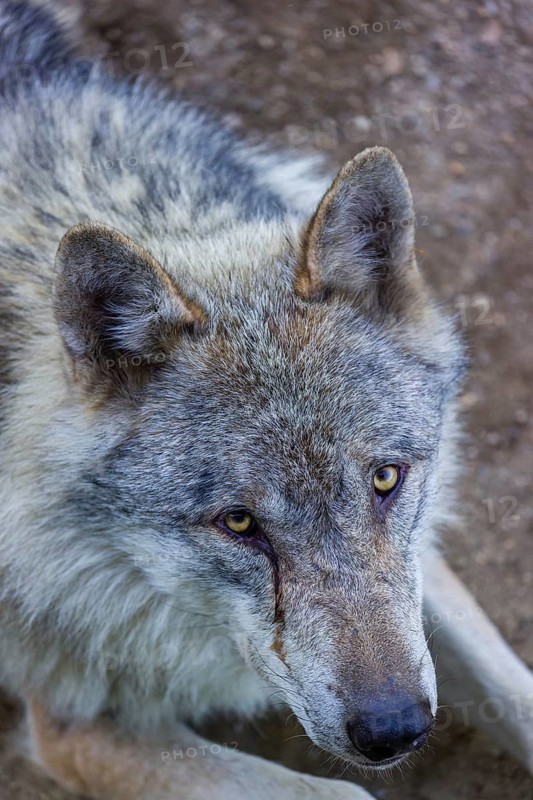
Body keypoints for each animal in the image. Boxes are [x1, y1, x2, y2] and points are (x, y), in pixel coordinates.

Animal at [0, 2, 531, 799]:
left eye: (386, 479)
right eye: (239, 523)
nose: (396, 728)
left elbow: (514, 688)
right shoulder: (74, 724)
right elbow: (341, 790)